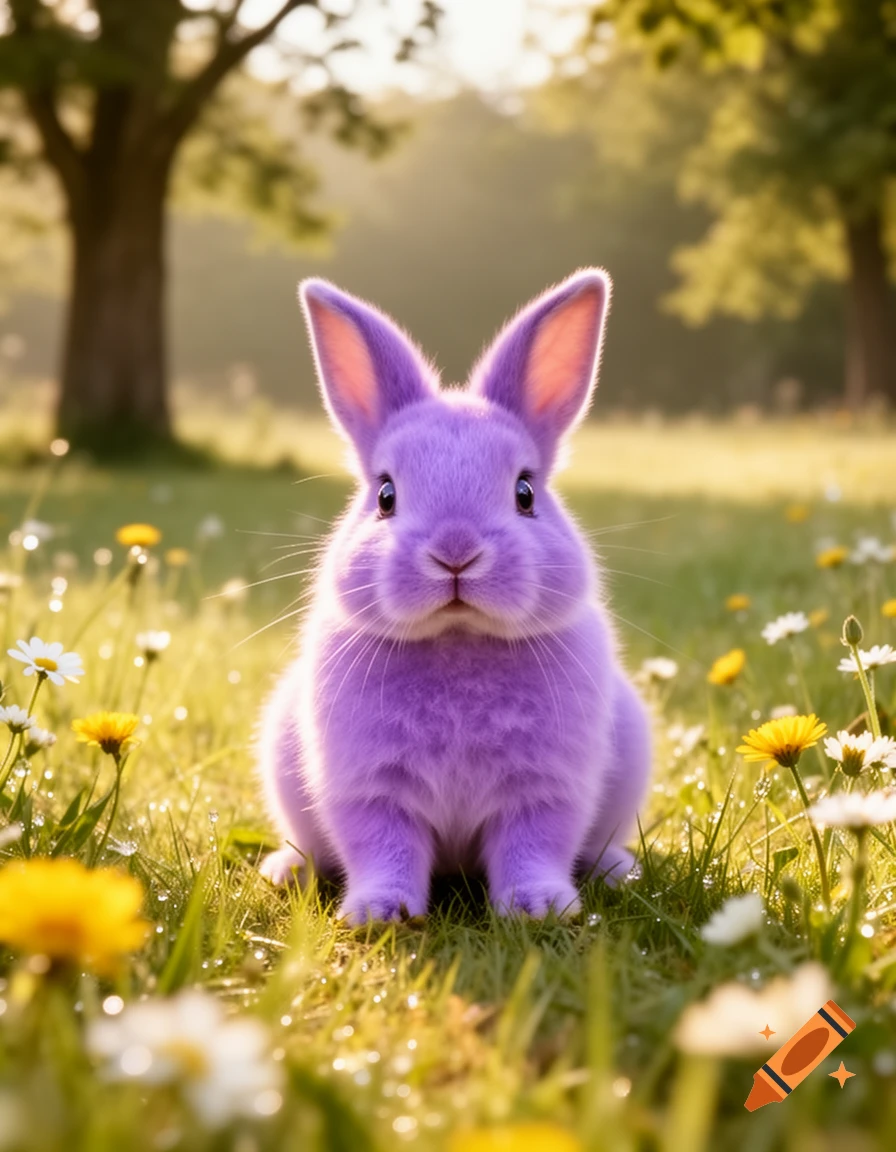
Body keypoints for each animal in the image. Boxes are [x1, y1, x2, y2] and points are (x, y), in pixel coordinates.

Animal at [257, 269, 652, 923]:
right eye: (385, 496)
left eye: (525, 492)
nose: (455, 551)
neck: (457, 638)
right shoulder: (370, 792)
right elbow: (383, 850)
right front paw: (379, 913)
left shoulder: (544, 790)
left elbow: (533, 847)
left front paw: (539, 907)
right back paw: (287, 871)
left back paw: (618, 871)